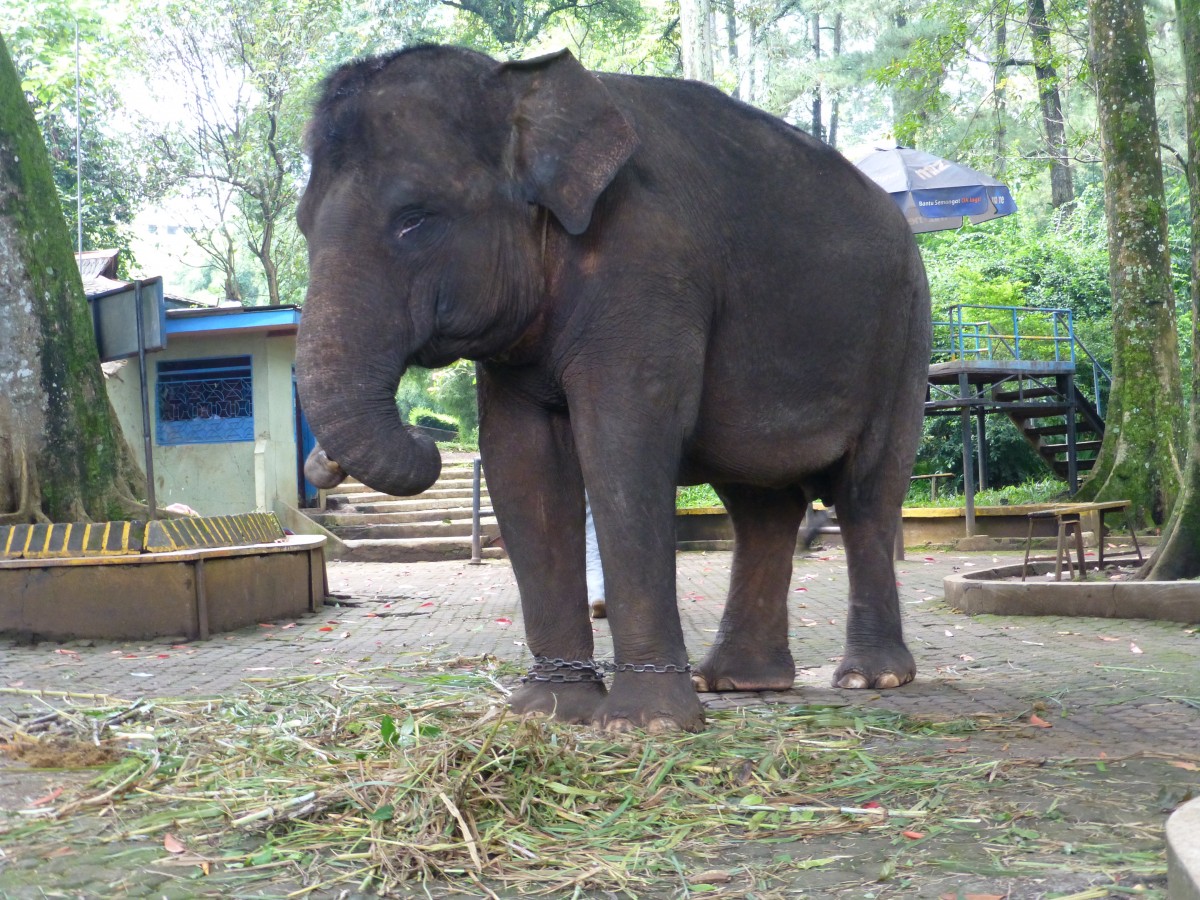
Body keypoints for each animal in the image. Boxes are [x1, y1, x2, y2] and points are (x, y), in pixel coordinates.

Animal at [295, 45, 931, 734]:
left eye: (414, 220)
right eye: (302, 227)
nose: (428, 435)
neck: (518, 85)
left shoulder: (647, 269)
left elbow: (621, 445)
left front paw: (645, 725)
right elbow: (521, 460)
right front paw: (547, 713)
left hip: (904, 334)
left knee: (867, 491)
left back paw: (870, 678)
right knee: (761, 505)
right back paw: (739, 681)